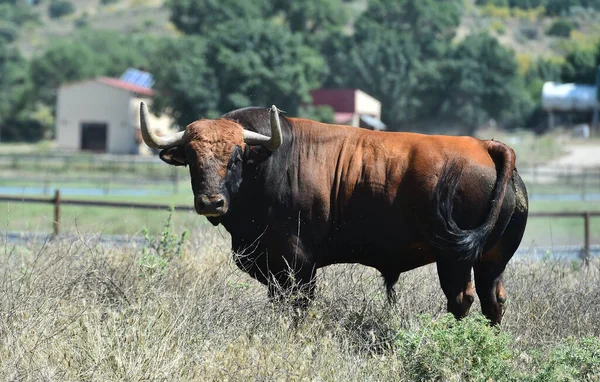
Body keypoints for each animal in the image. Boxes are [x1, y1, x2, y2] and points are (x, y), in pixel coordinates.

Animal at [138, 102, 528, 326]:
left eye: (235, 157)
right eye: (191, 158)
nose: (211, 202)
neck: (267, 162)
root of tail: (486, 146)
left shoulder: (296, 263)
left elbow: (298, 306)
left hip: (454, 260)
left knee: (461, 300)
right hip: (491, 260)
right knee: (493, 301)